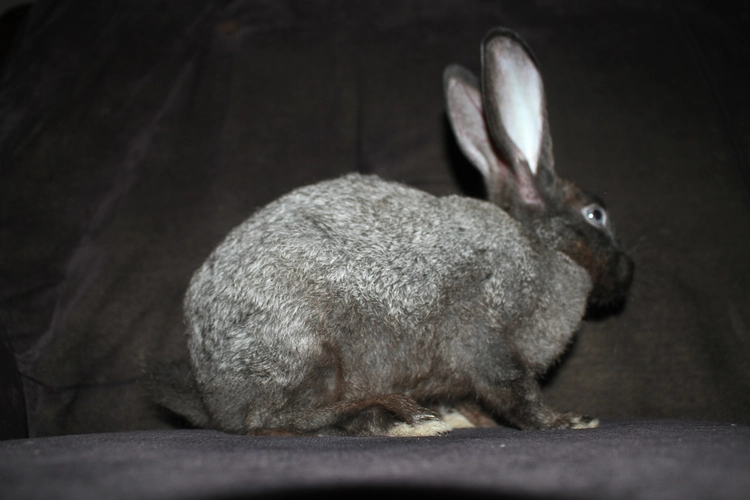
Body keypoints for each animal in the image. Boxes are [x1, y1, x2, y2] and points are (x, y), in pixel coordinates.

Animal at [154, 27, 633, 437]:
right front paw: (567, 422)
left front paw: (471, 419)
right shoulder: (487, 340)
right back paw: (402, 419)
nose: (627, 271)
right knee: (274, 419)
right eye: (596, 214)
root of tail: (212, 390)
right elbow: (514, 393)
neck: (544, 248)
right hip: (309, 352)